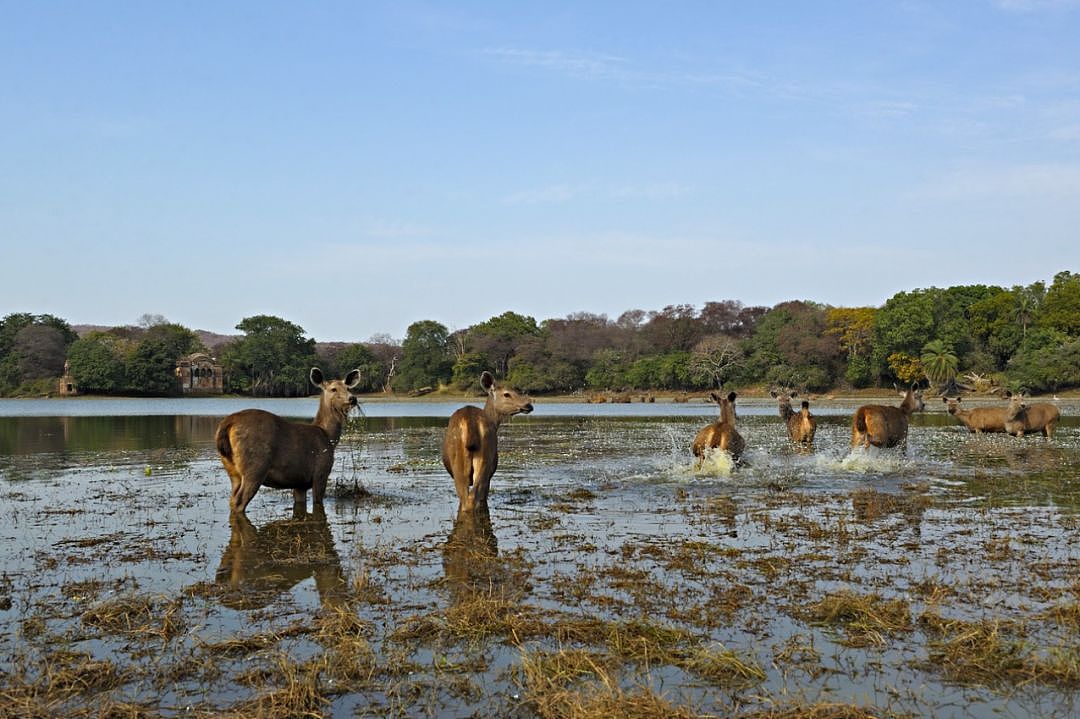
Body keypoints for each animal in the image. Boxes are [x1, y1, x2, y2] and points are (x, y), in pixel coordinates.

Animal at [214, 367, 362, 511]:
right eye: (333, 389)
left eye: (348, 388)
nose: (353, 398)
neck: (328, 436)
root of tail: (228, 422)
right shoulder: (321, 471)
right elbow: (317, 502)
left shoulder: (300, 483)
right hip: (255, 466)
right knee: (239, 501)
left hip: (231, 469)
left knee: (232, 499)